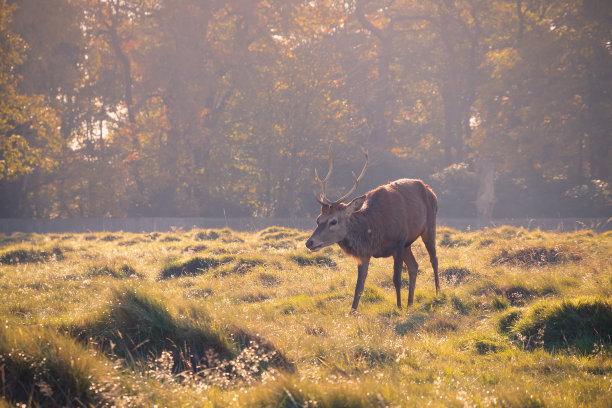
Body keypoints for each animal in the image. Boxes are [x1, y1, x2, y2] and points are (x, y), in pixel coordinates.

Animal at [306, 150, 440, 312]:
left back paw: (437, 293)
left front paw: (399, 307)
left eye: (333, 221)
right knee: (414, 266)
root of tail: (430, 191)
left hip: (429, 226)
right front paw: (352, 312)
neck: (375, 233)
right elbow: (359, 286)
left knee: (434, 259)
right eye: (318, 219)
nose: (309, 243)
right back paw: (410, 303)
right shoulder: (365, 253)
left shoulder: (399, 242)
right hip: (408, 244)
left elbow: (396, 279)